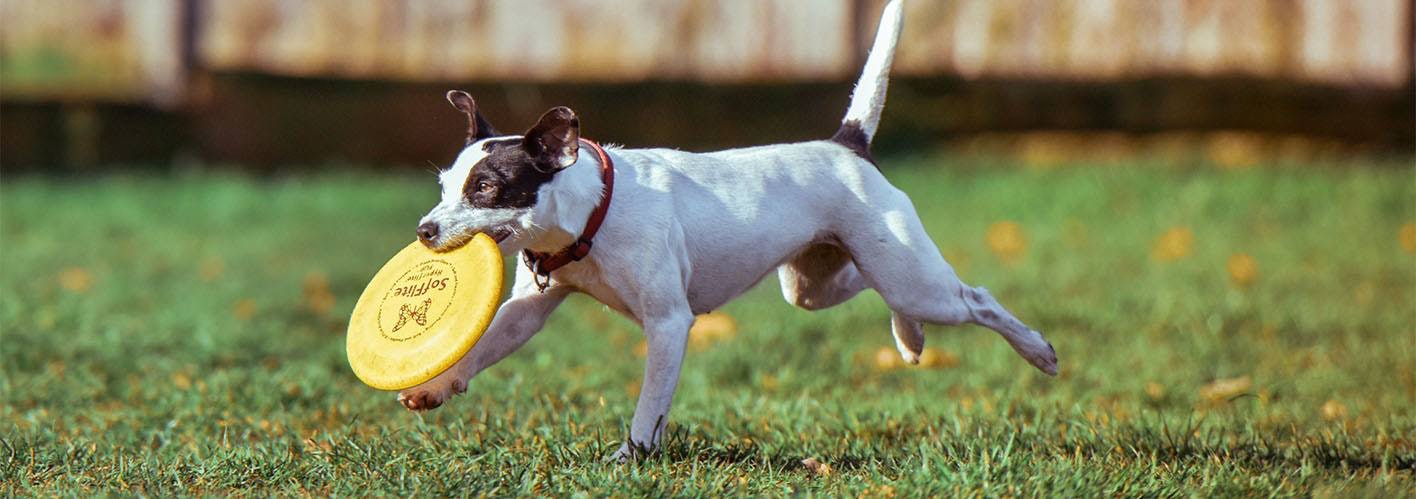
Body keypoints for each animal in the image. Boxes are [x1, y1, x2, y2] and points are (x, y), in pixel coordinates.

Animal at [393, 0, 1059, 462]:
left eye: (486, 188)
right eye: (444, 185)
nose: (424, 230)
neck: (592, 214)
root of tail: (847, 146)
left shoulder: (668, 325)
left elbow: (650, 406)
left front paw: (630, 457)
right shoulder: (527, 311)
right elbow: (483, 347)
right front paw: (437, 387)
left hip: (913, 278)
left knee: (976, 299)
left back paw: (1036, 350)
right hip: (817, 283)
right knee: (872, 289)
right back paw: (909, 338)